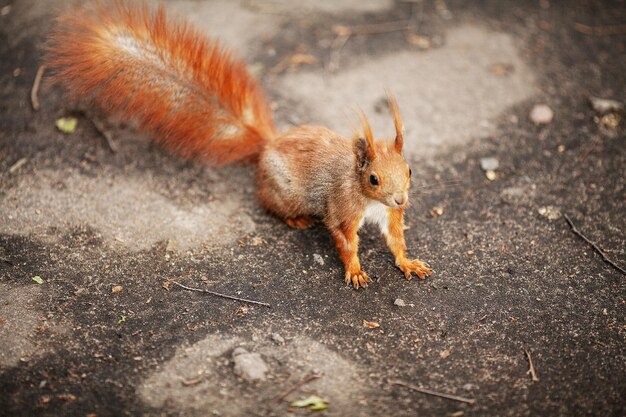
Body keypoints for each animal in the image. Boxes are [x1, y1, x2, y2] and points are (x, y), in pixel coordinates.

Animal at [46, 1, 432, 288]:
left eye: (410, 170)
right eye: (373, 179)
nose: (401, 199)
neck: (366, 196)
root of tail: (268, 144)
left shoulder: (390, 216)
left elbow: (395, 240)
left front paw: (408, 262)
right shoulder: (342, 209)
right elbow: (345, 240)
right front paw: (354, 270)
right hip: (285, 193)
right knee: (266, 202)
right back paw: (294, 220)